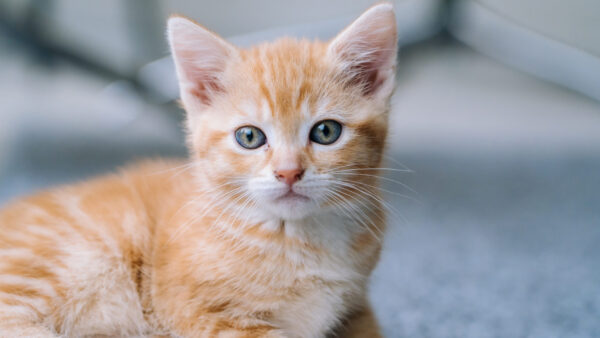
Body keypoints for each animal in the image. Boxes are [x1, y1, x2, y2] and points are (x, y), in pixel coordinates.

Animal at [0, 3, 398, 338]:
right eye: (249, 137)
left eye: (326, 132)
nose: (288, 172)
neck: (296, 239)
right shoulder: (199, 313)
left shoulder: (356, 306)